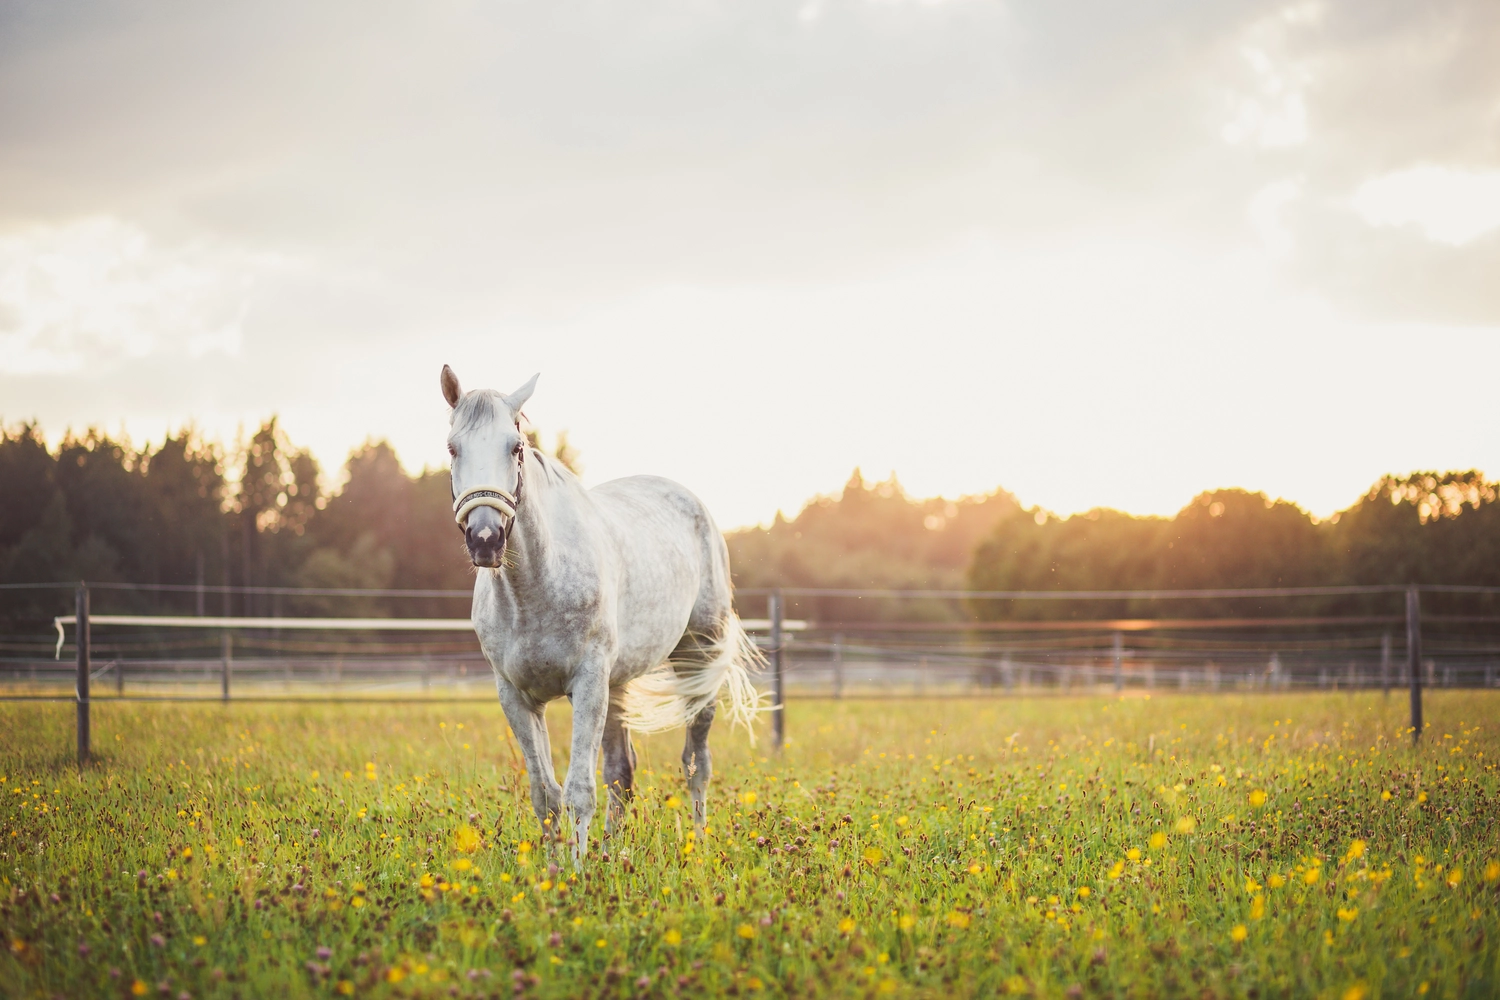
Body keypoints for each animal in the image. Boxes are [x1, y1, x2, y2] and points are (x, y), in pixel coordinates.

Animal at [440, 366, 762, 863]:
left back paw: (698, 844)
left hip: (698, 661)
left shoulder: (588, 683)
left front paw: (575, 869)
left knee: (696, 764)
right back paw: (612, 851)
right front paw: (554, 869)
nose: (485, 538)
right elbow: (546, 794)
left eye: (515, 447)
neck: (533, 588)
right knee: (621, 772)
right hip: (619, 683)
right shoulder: (516, 696)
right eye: (453, 448)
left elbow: (578, 792)